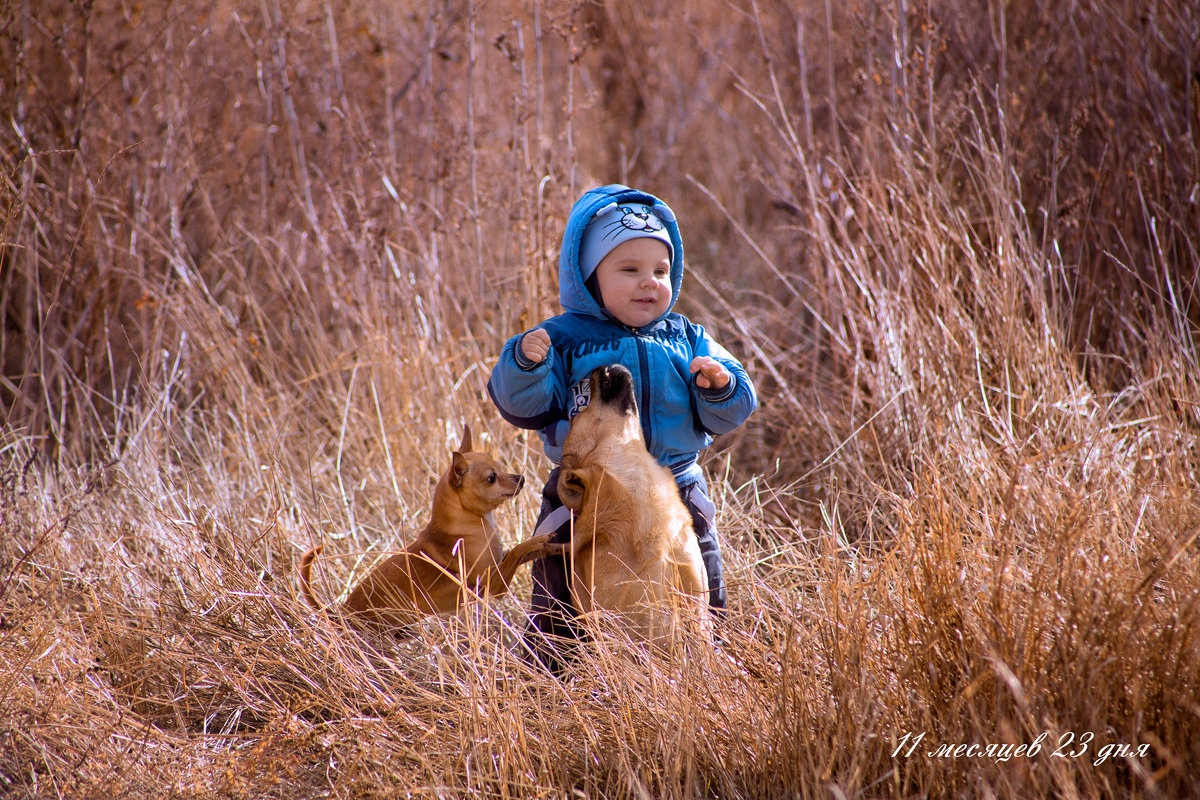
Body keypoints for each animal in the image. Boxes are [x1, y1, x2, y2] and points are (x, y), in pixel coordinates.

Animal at [297, 424, 564, 638]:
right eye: (491, 478)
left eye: (501, 466)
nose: (521, 478)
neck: (473, 522)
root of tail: (341, 614)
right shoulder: (494, 584)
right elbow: (518, 549)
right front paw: (537, 540)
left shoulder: (498, 565)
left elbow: (520, 553)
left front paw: (548, 545)